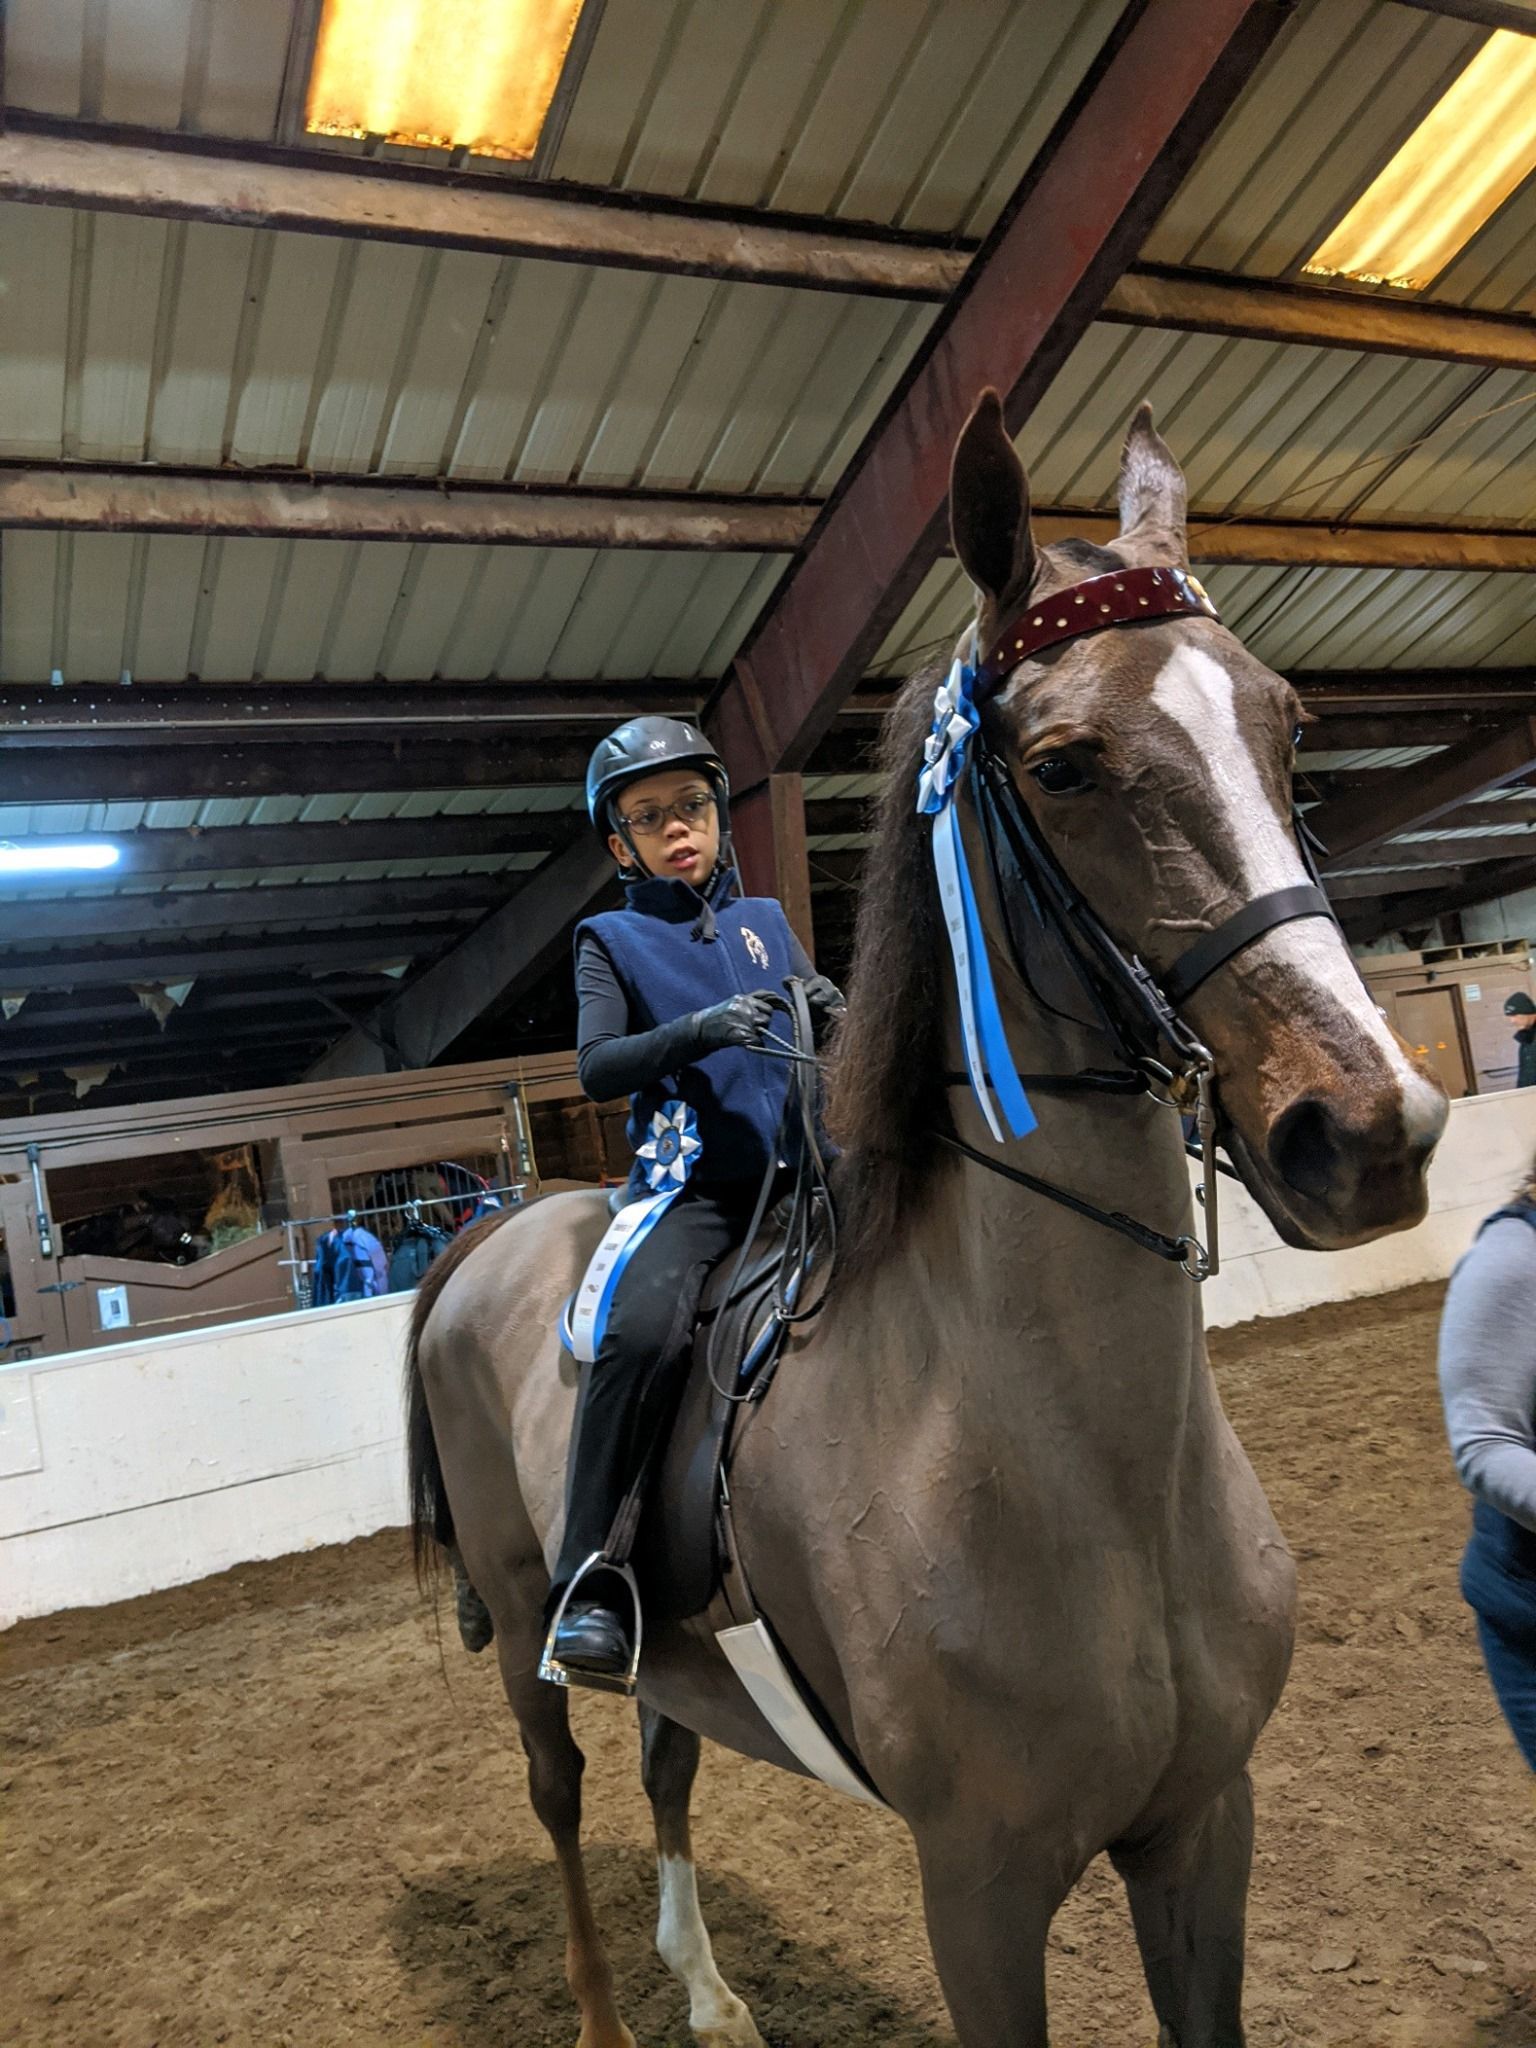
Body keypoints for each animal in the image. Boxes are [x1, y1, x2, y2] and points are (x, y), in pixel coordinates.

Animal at [403, 391, 1448, 2048]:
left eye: (1286, 726)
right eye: (1068, 764)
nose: (1365, 1133)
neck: (1065, 1457)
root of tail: (494, 1233)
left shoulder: (1203, 1827)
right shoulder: (979, 1890)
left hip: (672, 1663)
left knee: (666, 1757)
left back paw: (709, 1992)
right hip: (521, 1628)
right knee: (559, 1791)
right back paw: (607, 2014)